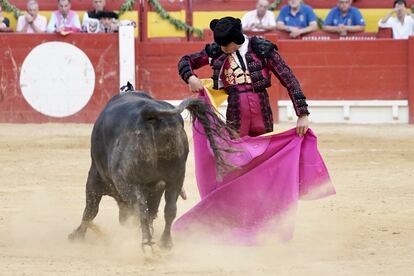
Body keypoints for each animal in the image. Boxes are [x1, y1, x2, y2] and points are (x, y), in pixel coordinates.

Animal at [69, 91, 234, 250]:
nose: (123, 221)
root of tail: (149, 113)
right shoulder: (159, 185)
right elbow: (153, 211)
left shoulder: (95, 177)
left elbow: (91, 209)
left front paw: (76, 236)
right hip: (176, 178)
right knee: (169, 210)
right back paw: (165, 243)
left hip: (129, 182)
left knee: (141, 209)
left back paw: (146, 243)